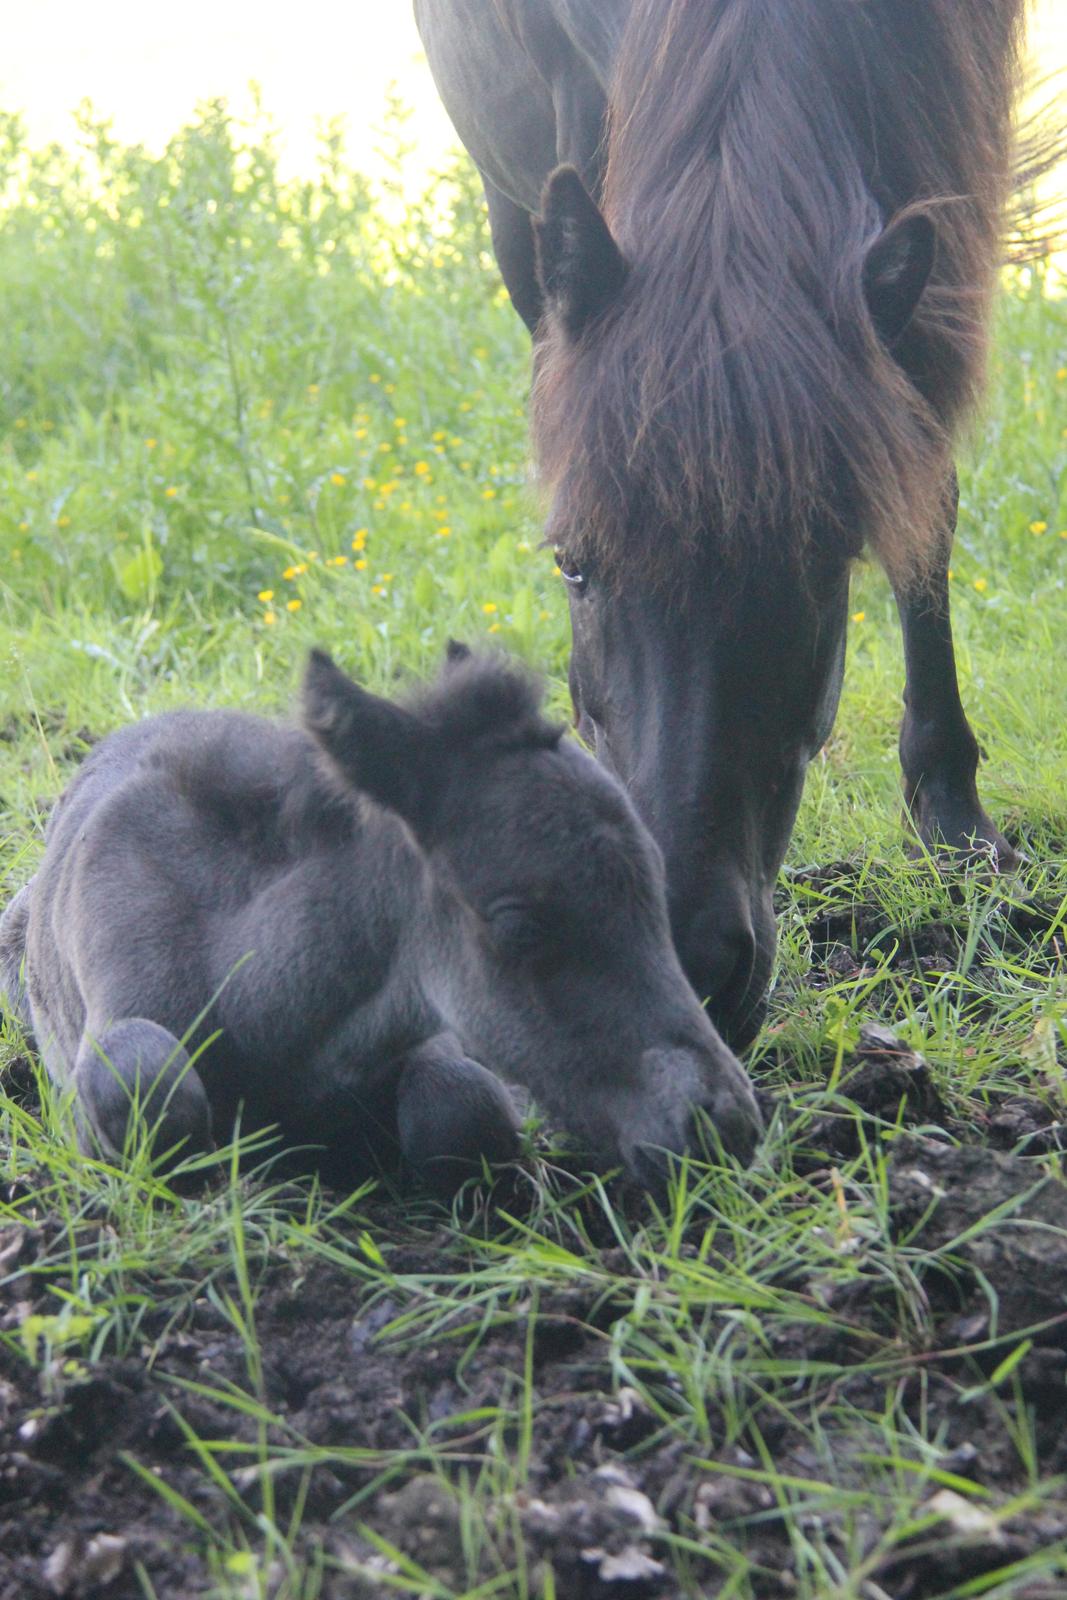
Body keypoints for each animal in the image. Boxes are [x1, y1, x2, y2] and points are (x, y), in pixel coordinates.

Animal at [4, 646, 764, 1190]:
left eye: (651, 894)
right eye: (518, 928)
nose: (725, 1125)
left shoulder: (427, 1034)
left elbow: (465, 1106)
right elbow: (150, 1084)